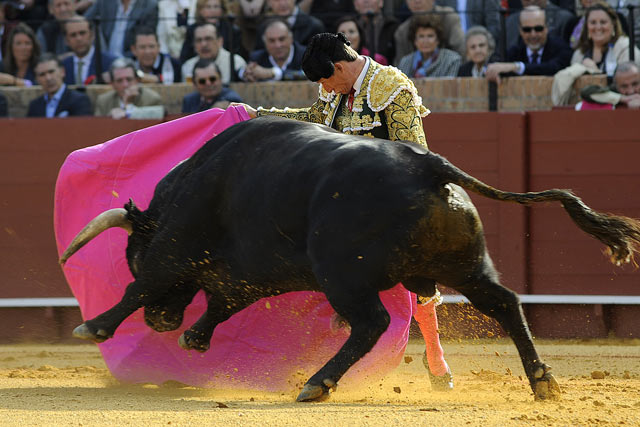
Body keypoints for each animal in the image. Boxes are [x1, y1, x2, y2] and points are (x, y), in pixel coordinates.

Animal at [60, 115, 640, 402]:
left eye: (132, 255)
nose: (162, 322)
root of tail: (430, 166)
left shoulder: (178, 246)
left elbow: (145, 285)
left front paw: (94, 327)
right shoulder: (250, 270)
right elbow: (224, 298)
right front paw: (196, 339)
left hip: (343, 274)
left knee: (372, 323)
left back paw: (317, 384)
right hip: (464, 266)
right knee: (504, 302)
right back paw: (542, 381)